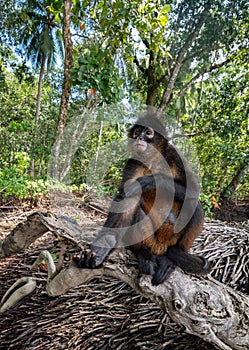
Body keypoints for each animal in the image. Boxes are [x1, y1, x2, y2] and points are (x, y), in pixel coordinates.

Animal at [73, 113, 211, 286]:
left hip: (174, 239)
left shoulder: (175, 155)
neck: (153, 159)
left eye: (148, 133)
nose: (139, 137)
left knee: (194, 203)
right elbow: (125, 197)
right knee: (132, 200)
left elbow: (194, 191)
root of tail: (160, 248)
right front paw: (99, 250)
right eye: (137, 131)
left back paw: (172, 258)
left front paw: (148, 181)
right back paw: (142, 252)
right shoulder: (133, 162)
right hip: (150, 238)